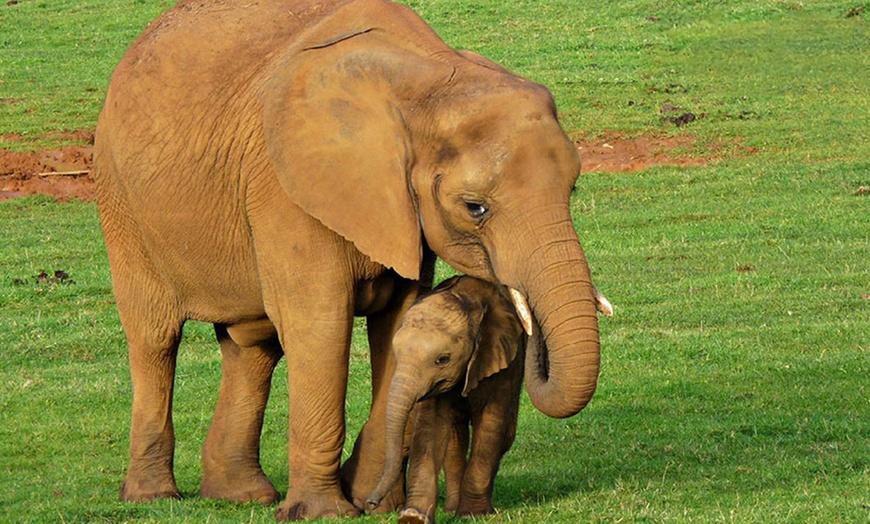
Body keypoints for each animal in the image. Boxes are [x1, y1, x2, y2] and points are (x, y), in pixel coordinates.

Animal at [366, 276, 524, 520]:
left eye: (443, 360)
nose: (371, 503)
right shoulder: (434, 385)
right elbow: (431, 428)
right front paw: (413, 517)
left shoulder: (503, 361)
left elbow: (490, 424)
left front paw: (473, 515)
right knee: (455, 440)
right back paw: (451, 508)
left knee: (504, 435)